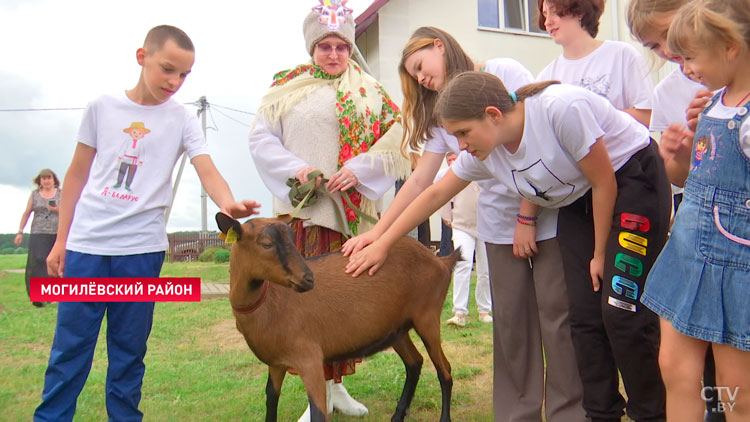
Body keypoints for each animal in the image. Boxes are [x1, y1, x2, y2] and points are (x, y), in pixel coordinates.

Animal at [214, 214, 462, 422]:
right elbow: (271, 400)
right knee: (414, 362)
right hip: (396, 330)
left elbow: (318, 411)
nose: (308, 279)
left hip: (427, 317)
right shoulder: (276, 363)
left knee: (445, 370)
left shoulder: (309, 359)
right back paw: (397, 416)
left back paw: (443, 418)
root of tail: (441, 261)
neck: (268, 304)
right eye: (266, 244)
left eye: (292, 240)